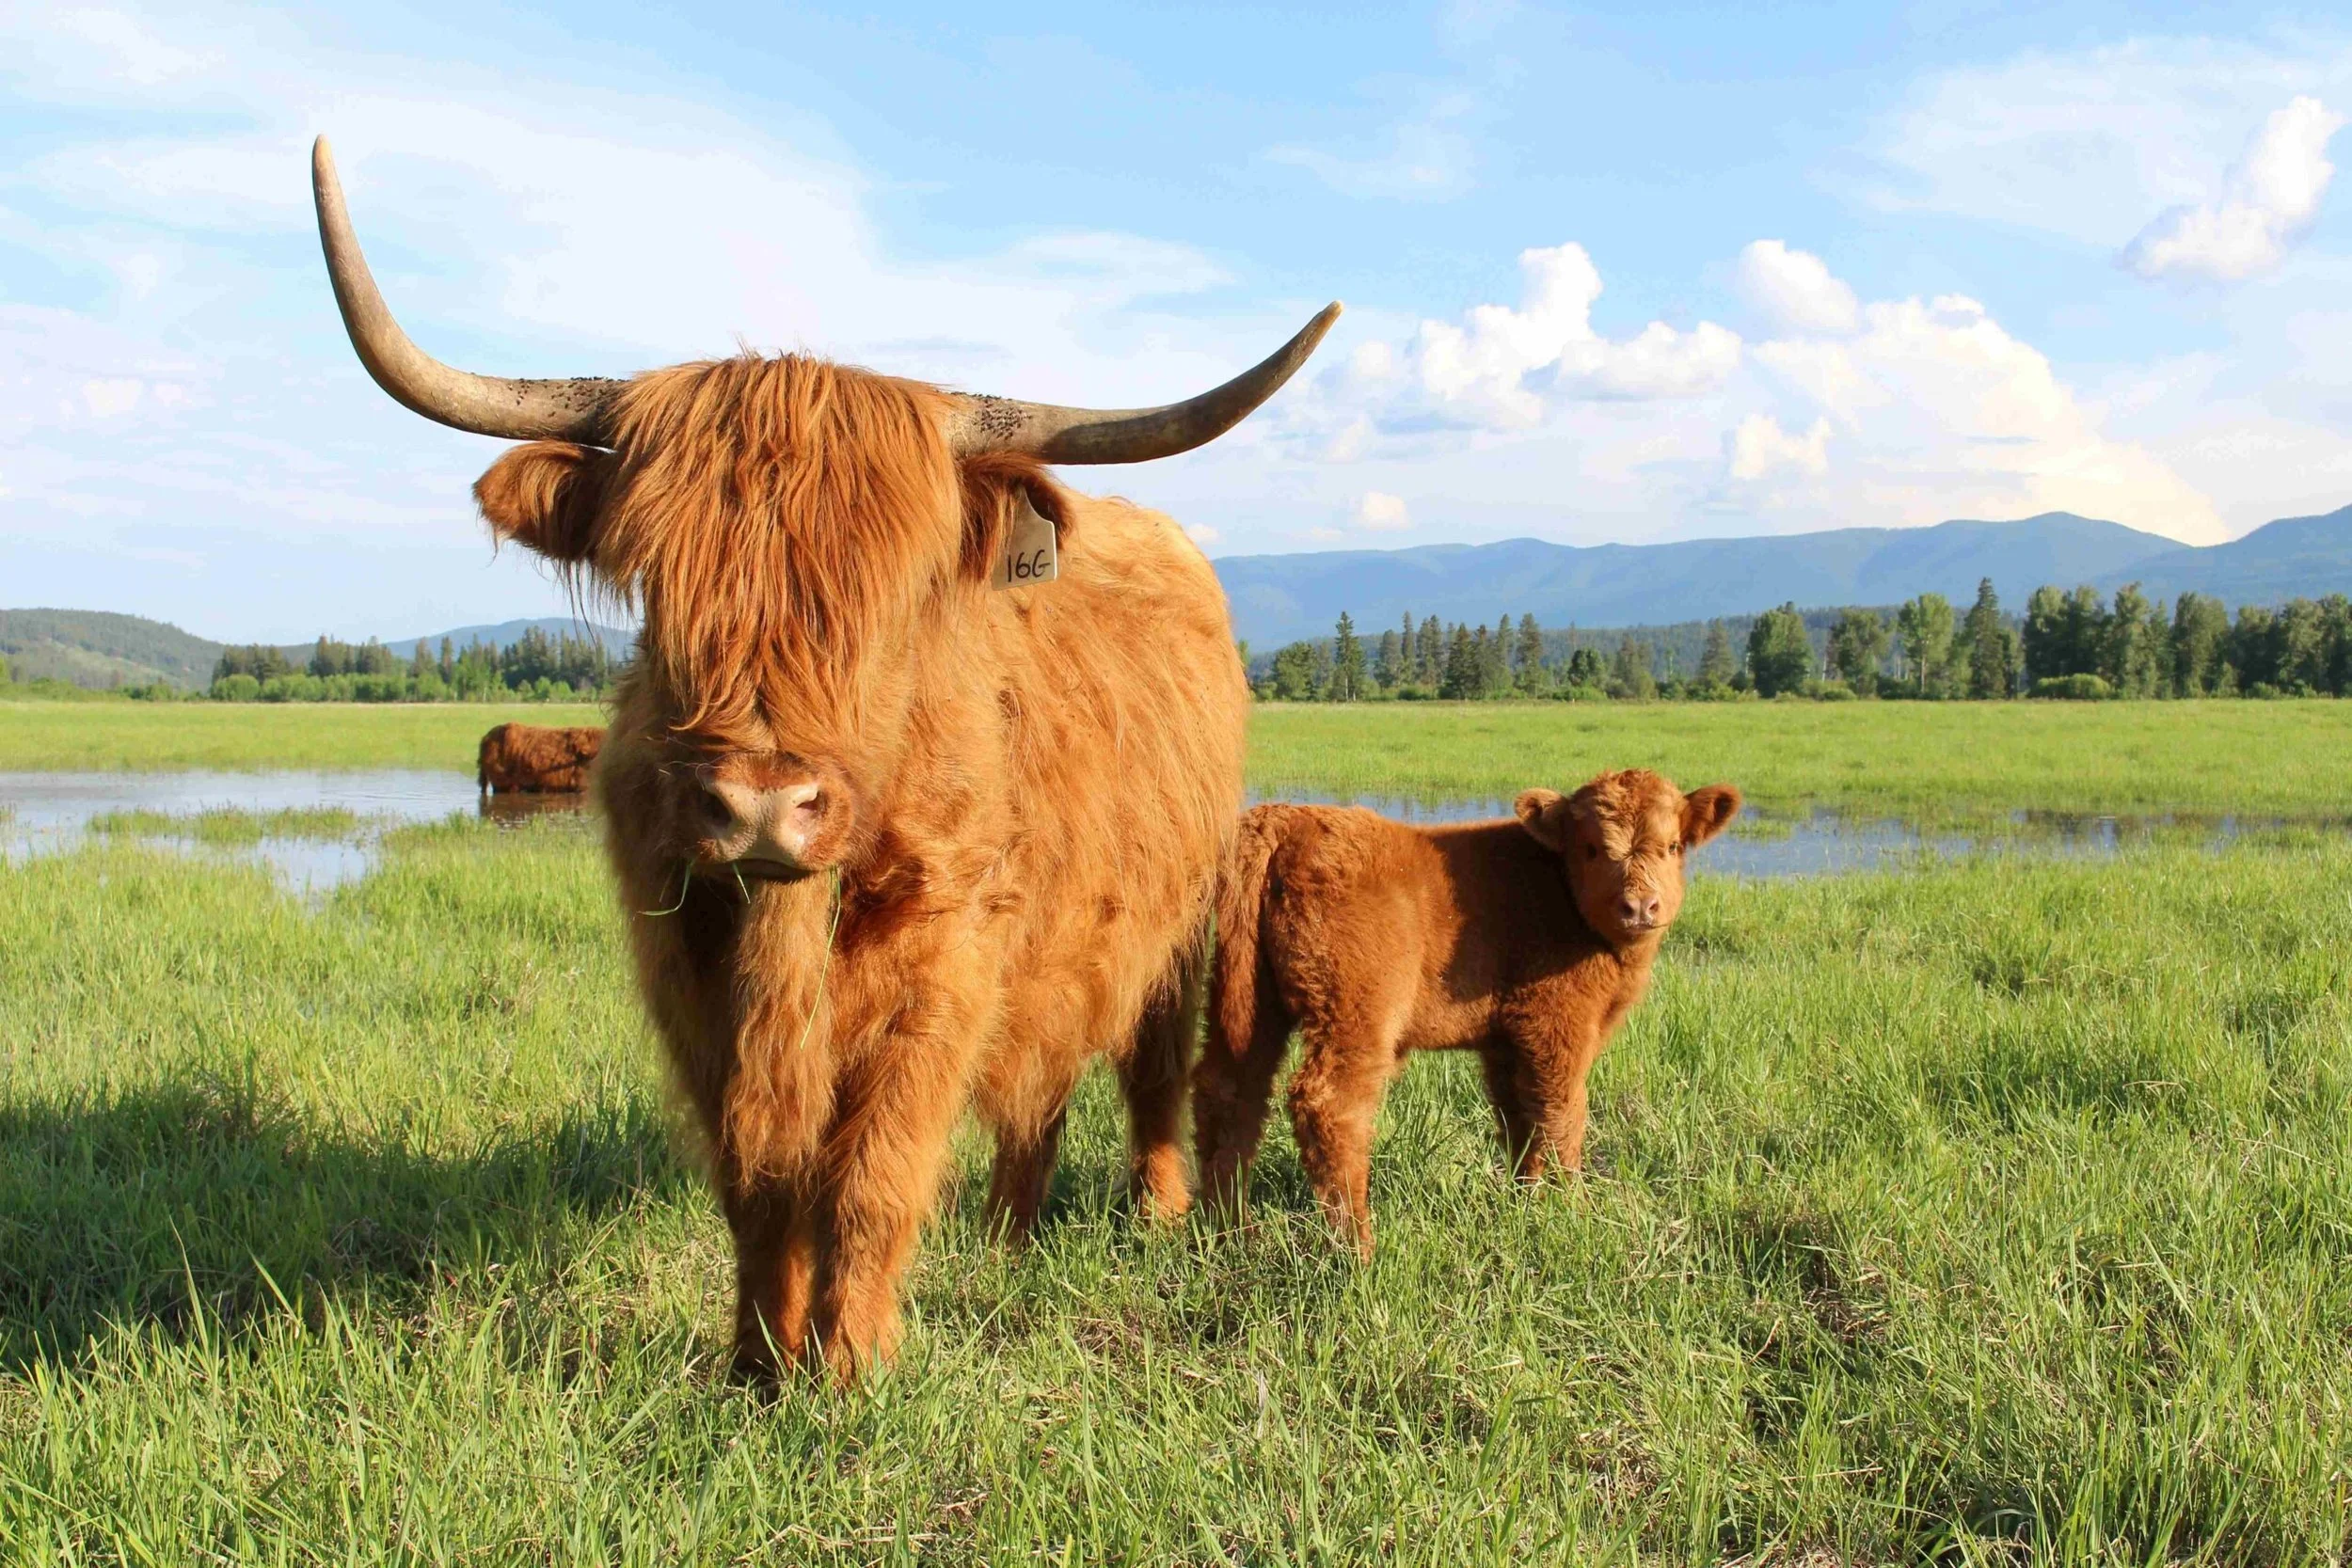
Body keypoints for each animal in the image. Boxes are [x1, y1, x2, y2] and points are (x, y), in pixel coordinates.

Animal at [1193, 770, 1740, 1256]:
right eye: (1591, 849)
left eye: (1674, 847)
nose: (1640, 906)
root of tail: (1282, 818)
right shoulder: (1556, 1023)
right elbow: (1564, 1114)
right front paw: (1575, 1212)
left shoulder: (1508, 1041)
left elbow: (1521, 1119)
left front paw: (1524, 1203)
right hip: (1356, 1015)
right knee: (1329, 1106)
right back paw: (1357, 1248)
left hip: (1248, 1002)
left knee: (1229, 1092)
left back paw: (1227, 1232)